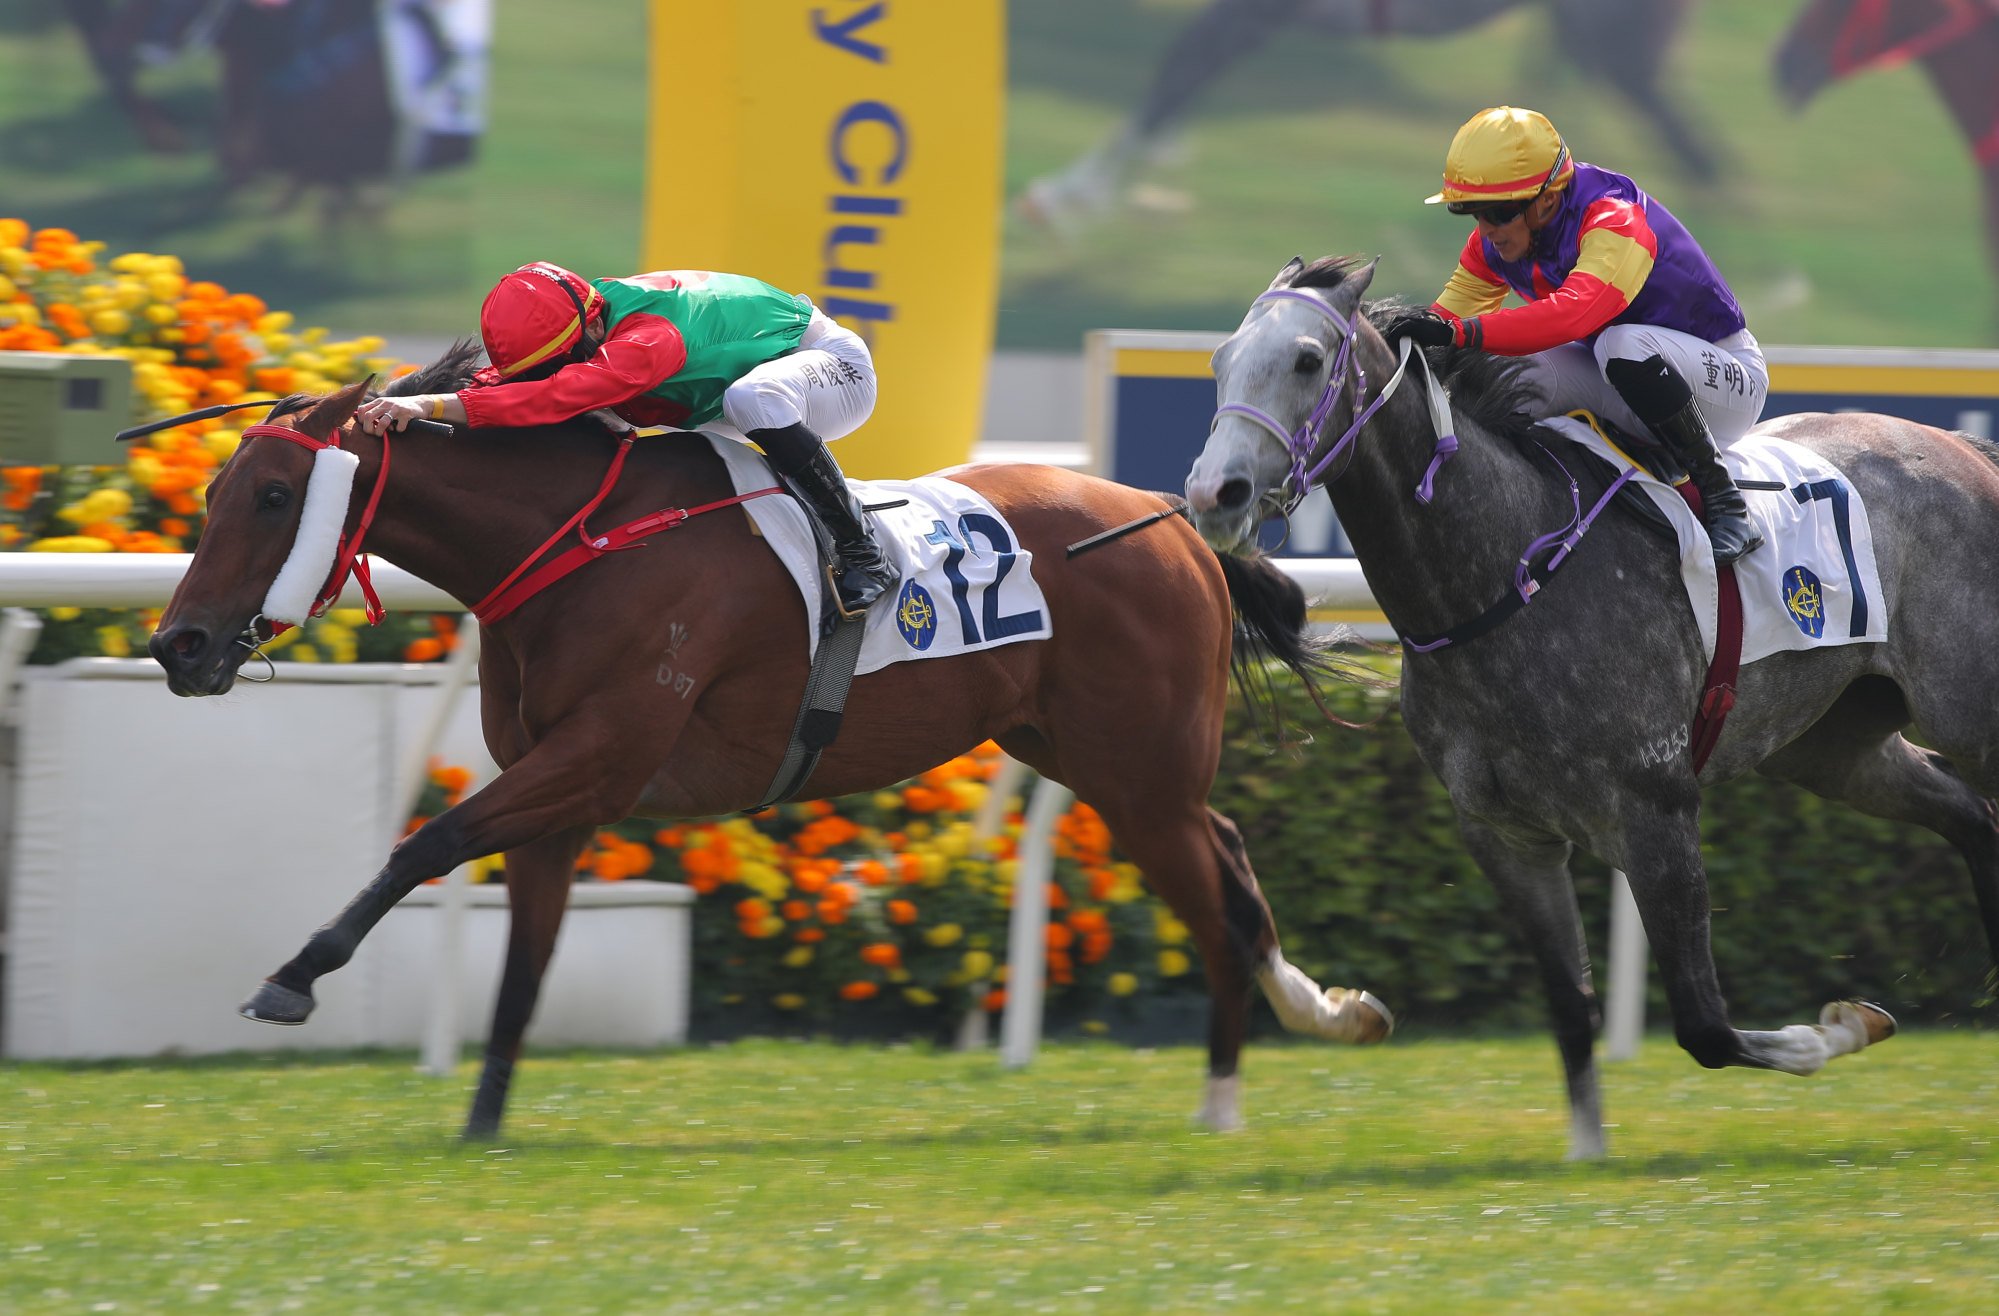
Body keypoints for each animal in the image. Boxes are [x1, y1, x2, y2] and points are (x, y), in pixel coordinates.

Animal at [147, 354, 1391, 1136]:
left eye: (271, 493)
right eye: (213, 489)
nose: (178, 642)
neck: (581, 541)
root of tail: (1176, 525)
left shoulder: (600, 753)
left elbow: (425, 842)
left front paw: (292, 977)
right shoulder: (562, 788)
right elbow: (524, 957)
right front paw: (483, 1118)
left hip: (1137, 773)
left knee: (1215, 898)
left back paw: (1226, 1092)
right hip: (1090, 756)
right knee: (1229, 856)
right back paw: (1319, 1011)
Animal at [1183, 256, 1999, 1160]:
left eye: (1304, 360)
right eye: (1221, 361)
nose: (1213, 493)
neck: (1501, 572)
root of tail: (1965, 449)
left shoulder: (1653, 810)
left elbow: (1704, 1025)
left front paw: (1840, 1028)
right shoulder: (1505, 833)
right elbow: (1570, 1006)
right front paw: (1584, 1152)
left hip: (1966, 708)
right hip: (1833, 744)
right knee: (1968, 814)